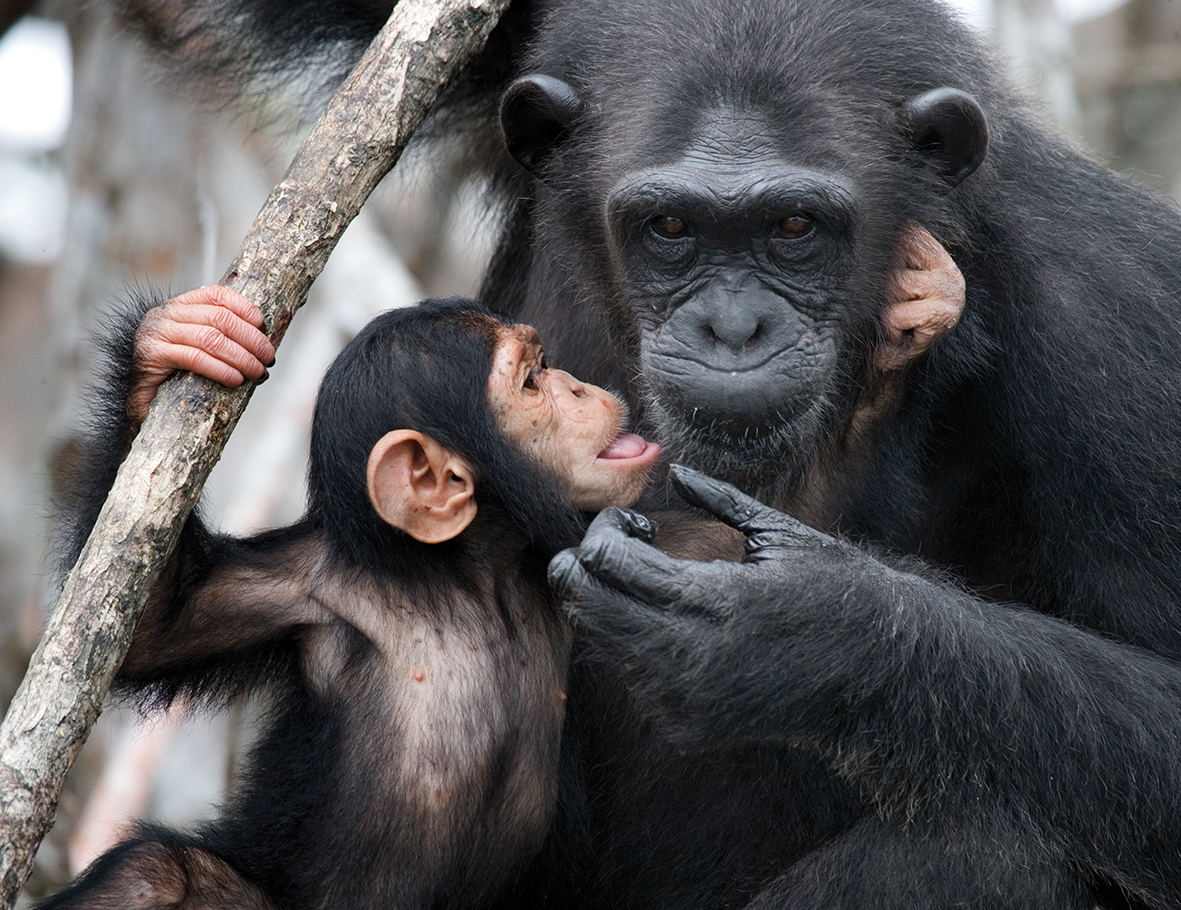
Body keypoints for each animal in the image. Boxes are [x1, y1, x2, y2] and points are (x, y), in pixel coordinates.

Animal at [41, 295, 661, 906]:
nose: (576, 386)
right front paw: (176, 343)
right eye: (532, 381)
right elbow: (156, 624)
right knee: (152, 873)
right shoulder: (302, 586)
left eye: (546, 366)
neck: (472, 576)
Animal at [103, 0, 1181, 906]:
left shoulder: (1116, 326)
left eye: (794, 226)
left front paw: (795, 632)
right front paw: (172, 351)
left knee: (996, 845)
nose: (732, 326)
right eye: (669, 226)